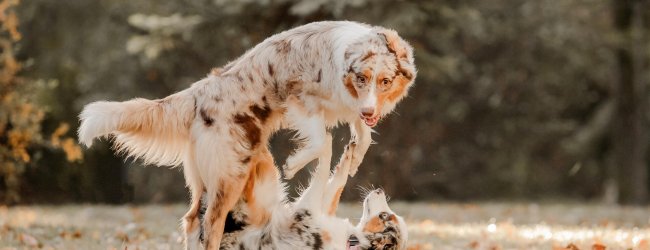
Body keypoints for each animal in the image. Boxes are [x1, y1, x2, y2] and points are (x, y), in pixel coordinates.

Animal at [204, 137, 404, 250]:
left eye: (384, 216)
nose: (380, 190)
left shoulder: (306, 209)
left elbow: (323, 168)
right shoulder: (320, 210)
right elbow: (337, 182)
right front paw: (348, 156)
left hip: (265, 185)